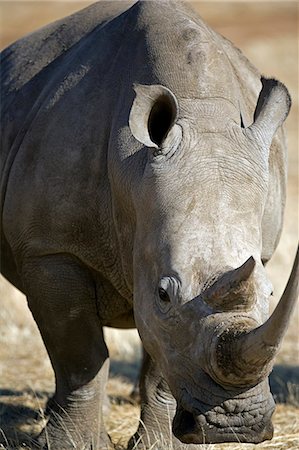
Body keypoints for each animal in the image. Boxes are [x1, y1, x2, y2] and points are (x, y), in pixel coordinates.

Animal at [1, 0, 298, 450]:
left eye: (271, 293)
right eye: (163, 293)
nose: (236, 424)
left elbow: (163, 356)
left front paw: (160, 445)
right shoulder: (50, 248)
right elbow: (80, 355)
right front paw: (70, 445)